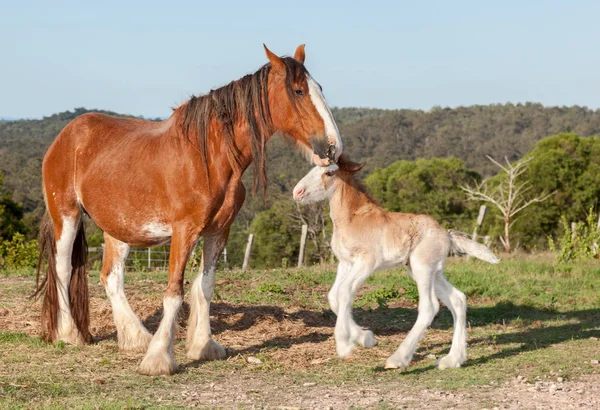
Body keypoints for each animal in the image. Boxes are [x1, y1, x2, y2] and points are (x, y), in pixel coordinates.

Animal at [35, 44, 342, 374]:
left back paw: (136, 338)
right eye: (298, 91)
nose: (332, 147)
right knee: (63, 269)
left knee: (111, 277)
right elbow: (174, 293)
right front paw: (159, 359)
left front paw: (204, 346)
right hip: (66, 216)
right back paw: (70, 334)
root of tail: (65, 137)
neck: (209, 157)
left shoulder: (218, 231)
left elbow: (205, 287)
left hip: (118, 227)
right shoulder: (184, 231)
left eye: (319, 88)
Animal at [292, 159, 500, 370]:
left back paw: (397, 359)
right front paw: (366, 338)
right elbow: (334, 297)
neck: (353, 218)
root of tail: (447, 235)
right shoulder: (345, 263)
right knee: (458, 300)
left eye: (329, 173)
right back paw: (452, 360)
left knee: (430, 307)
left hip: (422, 267)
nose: (297, 192)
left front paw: (344, 345)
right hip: (430, 272)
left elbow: (344, 293)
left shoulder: (367, 261)